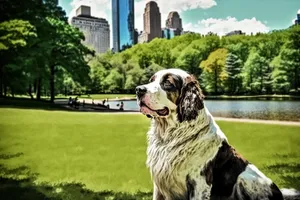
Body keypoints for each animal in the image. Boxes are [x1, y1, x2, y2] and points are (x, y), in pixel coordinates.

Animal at [136, 68, 300, 199]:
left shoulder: (199, 182)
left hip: (244, 178)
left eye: (167, 83)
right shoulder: (159, 184)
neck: (170, 135)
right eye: (152, 80)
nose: (138, 89)